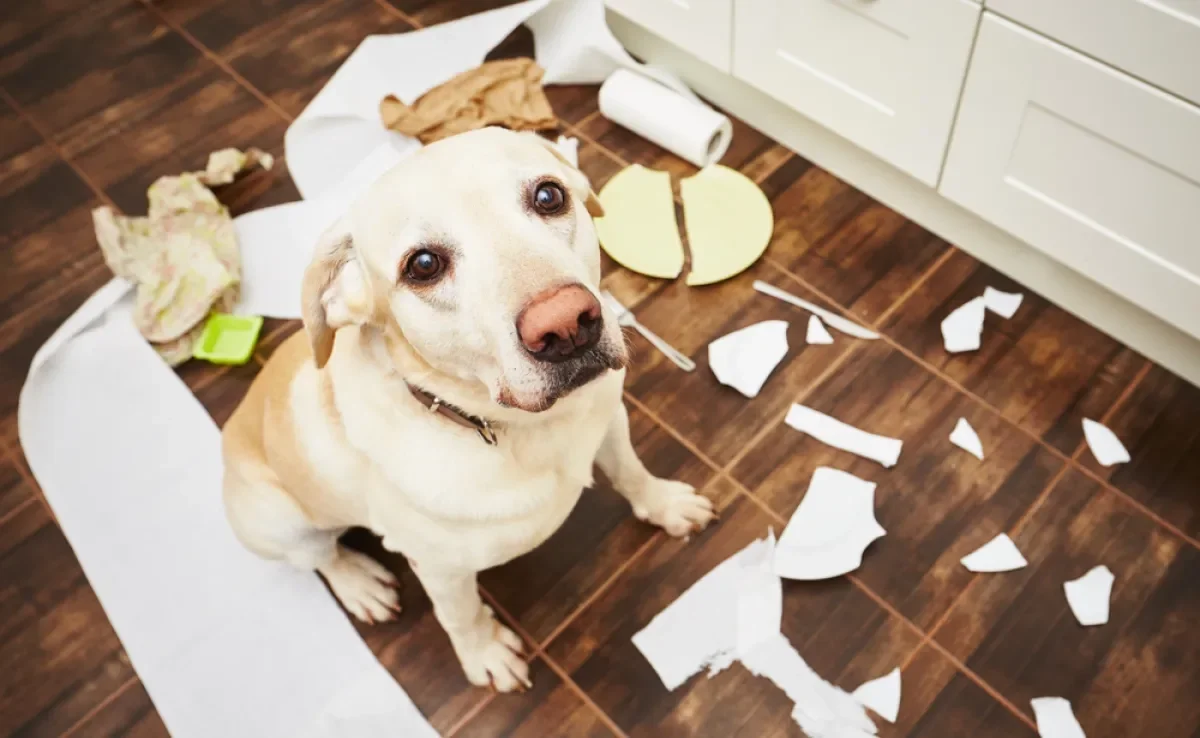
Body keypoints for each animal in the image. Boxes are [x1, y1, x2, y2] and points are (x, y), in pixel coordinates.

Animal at [219, 127, 710, 691]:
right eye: (423, 265)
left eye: (549, 196)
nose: (566, 325)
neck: (525, 427)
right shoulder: (442, 569)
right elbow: (462, 615)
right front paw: (485, 655)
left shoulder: (610, 423)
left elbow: (631, 472)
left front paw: (665, 505)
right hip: (282, 522)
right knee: (321, 559)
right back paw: (360, 584)